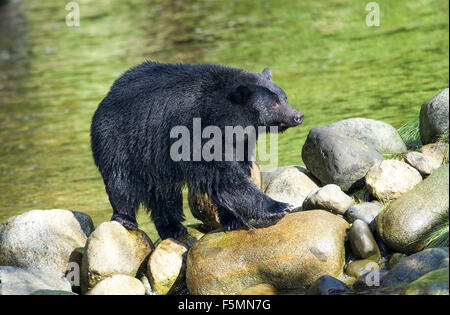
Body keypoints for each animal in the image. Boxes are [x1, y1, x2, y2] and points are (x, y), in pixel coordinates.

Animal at [89, 61, 304, 239]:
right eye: (274, 103)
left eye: (284, 97)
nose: (298, 116)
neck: (225, 116)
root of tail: (108, 94)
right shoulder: (194, 127)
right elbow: (220, 174)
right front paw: (279, 206)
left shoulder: (240, 140)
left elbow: (237, 169)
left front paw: (231, 219)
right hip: (119, 139)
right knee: (121, 182)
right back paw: (126, 219)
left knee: (164, 194)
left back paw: (173, 227)